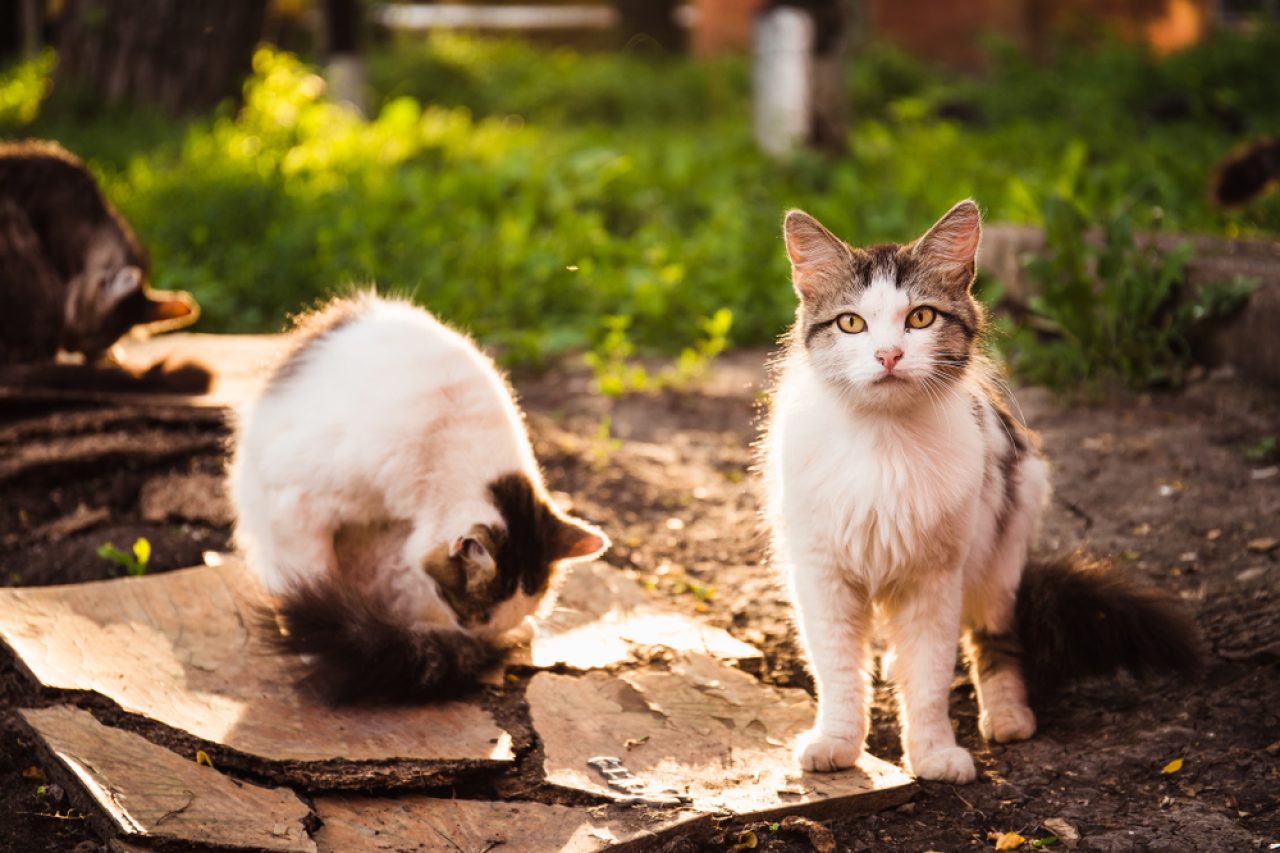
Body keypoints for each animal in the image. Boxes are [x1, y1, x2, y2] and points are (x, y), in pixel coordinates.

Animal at [230, 290, 609, 696]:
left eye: (482, 619)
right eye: (470, 613)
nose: (479, 637)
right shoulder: (296, 502)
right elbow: (309, 575)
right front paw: (307, 641)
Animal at [762, 199, 1203, 778]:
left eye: (920, 318)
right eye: (851, 324)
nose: (888, 355)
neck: (883, 443)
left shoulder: (936, 578)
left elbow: (928, 676)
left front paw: (933, 753)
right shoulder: (822, 575)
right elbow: (837, 672)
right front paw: (837, 742)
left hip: (1002, 550)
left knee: (995, 642)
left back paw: (1009, 716)